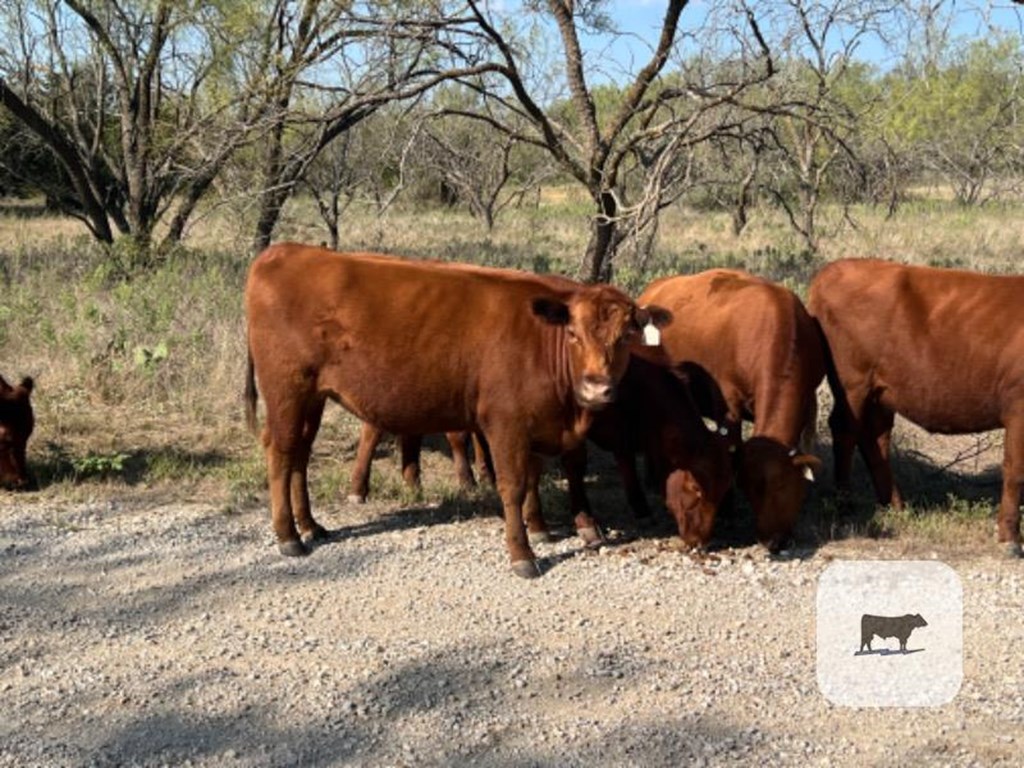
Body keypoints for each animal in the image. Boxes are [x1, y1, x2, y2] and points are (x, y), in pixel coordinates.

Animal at [638, 270, 823, 552]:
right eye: (749, 488)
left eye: (781, 484)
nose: (771, 540)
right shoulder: (727, 405)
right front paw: (726, 511)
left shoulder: (809, 401)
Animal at [806, 262, 1024, 557]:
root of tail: (834, 268)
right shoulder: (1018, 409)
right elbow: (1015, 472)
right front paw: (1010, 537)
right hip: (853, 383)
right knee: (846, 431)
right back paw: (844, 504)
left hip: (880, 392)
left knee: (875, 437)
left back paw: (894, 506)